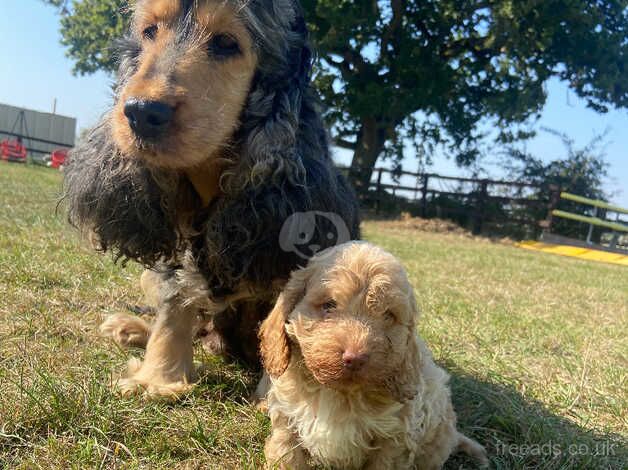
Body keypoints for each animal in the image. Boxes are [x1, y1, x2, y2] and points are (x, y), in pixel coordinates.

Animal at [64, 0, 360, 398]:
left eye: (225, 43)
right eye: (149, 31)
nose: (141, 113)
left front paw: (279, 397)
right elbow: (174, 304)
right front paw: (156, 379)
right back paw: (130, 328)